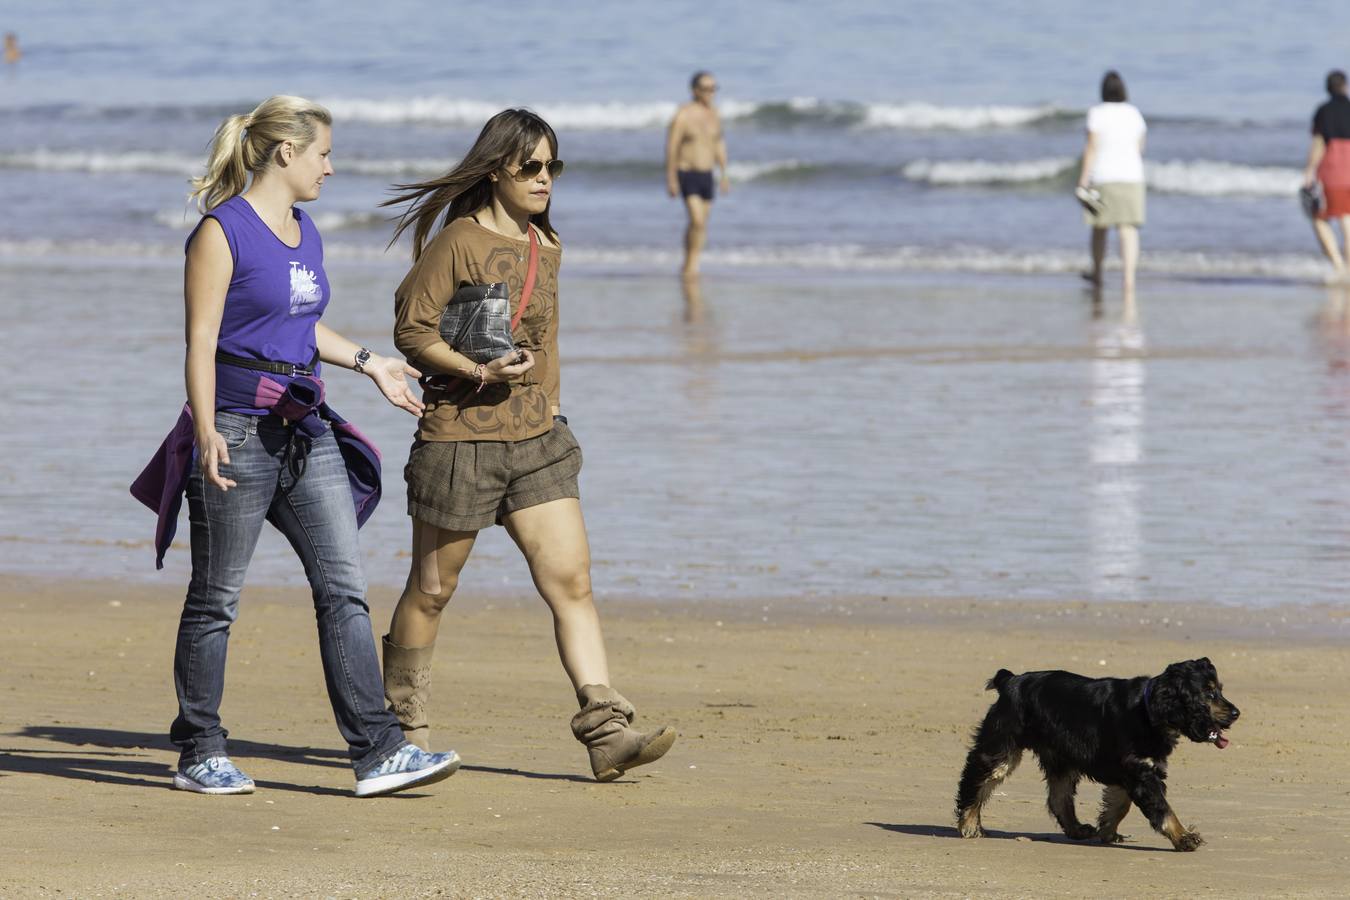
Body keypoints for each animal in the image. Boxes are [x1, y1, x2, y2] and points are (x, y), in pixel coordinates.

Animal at [955, 658, 1236, 847]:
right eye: (1209, 693)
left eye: (1219, 690)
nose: (1236, 712)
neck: (1147, 709)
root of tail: (1010, 681)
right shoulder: (1141, 773)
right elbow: (1162, 808)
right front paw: (1184, 837)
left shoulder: (1132, 771)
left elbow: (1120, 805)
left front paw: (1107, 832)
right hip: (1001, 749)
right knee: (975, 781)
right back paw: (969, 825)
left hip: (1060, 758)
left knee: (1058, 797)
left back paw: (1077, 829)